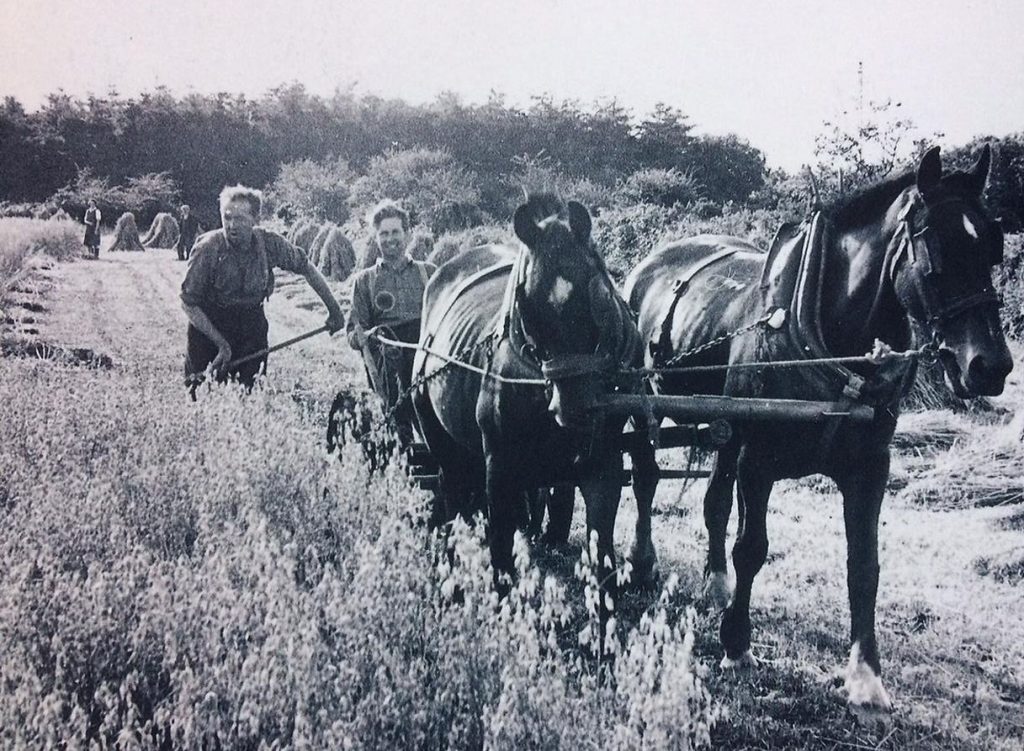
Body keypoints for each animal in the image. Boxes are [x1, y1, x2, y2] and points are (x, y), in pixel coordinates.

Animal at [626, 145, 1011, 708]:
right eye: (934, 254)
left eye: (992, 248)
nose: (991, 366)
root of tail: (647, 264)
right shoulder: (758, 461)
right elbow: (752, 549)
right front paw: (736, 644)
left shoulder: (870, 468)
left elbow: (864, 566)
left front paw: (866, 677)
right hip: (643, 407)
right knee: (644, 478)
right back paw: (641, 560)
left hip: (727, 427)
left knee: (714, 501)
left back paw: (715, 584)